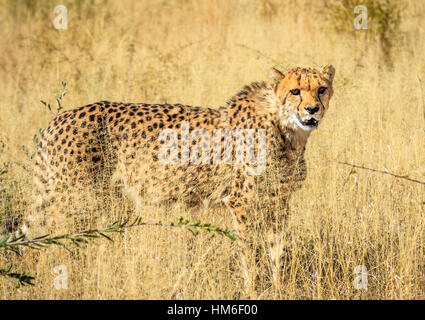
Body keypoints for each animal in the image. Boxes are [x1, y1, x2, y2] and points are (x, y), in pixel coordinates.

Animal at [9, 64, 336, 290]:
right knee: (47, 238)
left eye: (321, 89)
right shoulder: (242, 203)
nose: (312, 110)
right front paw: (254, 290)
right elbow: (251, 255)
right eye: (295, 91)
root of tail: (59, 118)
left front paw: (279, 288)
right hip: (74, 199)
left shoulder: (279, 203)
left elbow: (277, 252)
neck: (286, 129)